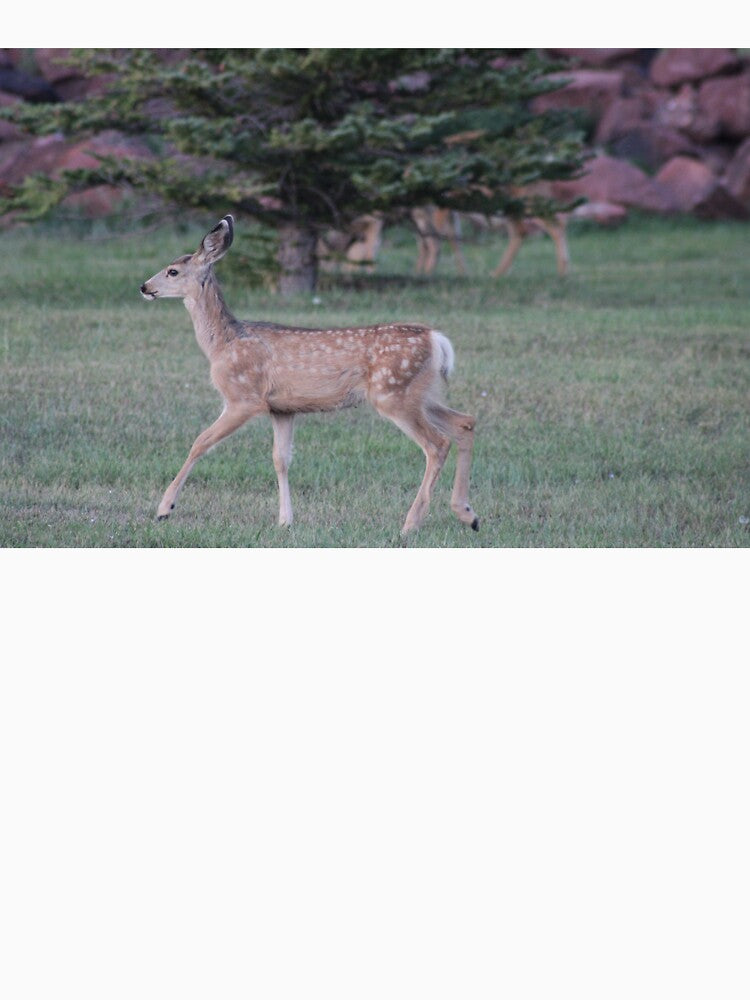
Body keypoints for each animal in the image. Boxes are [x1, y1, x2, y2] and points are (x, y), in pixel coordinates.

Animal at [139, 215, 479, 536]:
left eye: (172, 271)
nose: (144, 287)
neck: (223, 343)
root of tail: (436, 339)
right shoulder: (282, 409)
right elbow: (281, 459)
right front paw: (285, 521)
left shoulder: (244, 398)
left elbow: (200, 442)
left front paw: (164, 508)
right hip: (418, 393)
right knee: (464, 422)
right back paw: (468, 514)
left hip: (393, 393)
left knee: (437, 444)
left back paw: (411, 524)